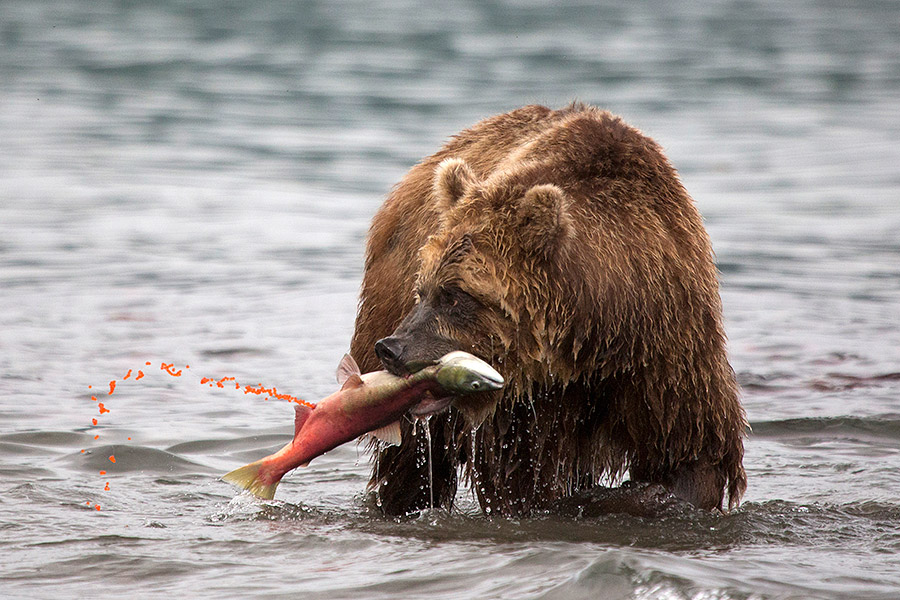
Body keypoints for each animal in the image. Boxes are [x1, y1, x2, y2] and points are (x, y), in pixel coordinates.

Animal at [344, 102, 744, 516]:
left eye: (454, 294)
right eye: (422, 290)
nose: (391, 348)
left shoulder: (667, 350)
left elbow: (690, 453)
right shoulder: (528, 406)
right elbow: (522, 479)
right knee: (411, 459)